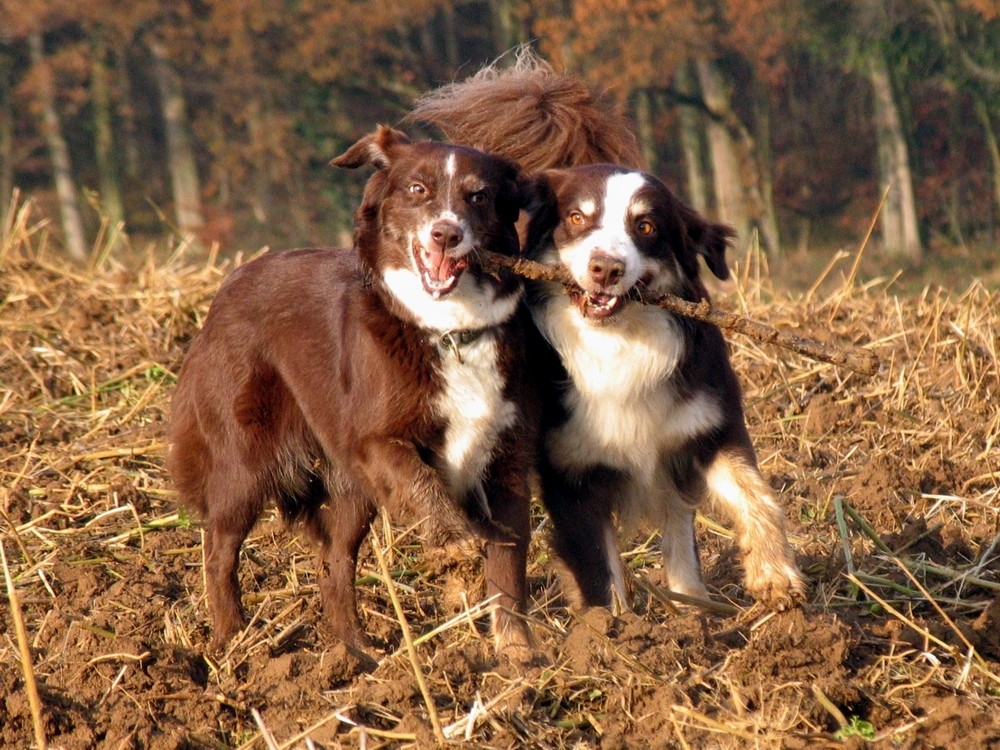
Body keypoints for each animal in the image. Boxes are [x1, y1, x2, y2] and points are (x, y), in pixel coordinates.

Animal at [168, 126, 540, 656]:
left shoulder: (507, 457)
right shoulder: (373, 439)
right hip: (245, 459)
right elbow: (420, 479)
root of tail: (228, 287)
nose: (446, 234)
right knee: (220, 550)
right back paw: (234, 642)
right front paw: (453, 540)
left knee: (335, 564)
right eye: (417, 190)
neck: (448, 328)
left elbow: (509, 562)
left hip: (348, 490)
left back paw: (356, 654)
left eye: (479, 196)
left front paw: (519, 656)